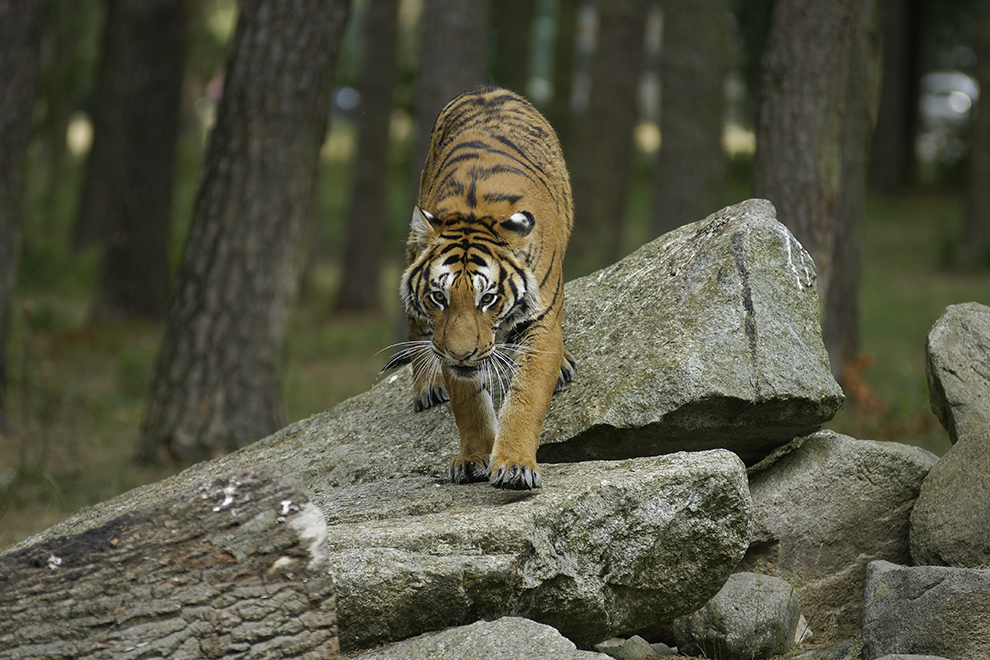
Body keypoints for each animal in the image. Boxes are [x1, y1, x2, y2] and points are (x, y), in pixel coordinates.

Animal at [400, 85, 576, 490]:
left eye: (488, 299)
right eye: (439, 297)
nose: (462, 354)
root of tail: (488, 89)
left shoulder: (542, 321)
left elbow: (527, 394)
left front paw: (514, 465)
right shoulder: (446, 340)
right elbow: (468, 401)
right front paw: (474, 457)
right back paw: (426, 386)